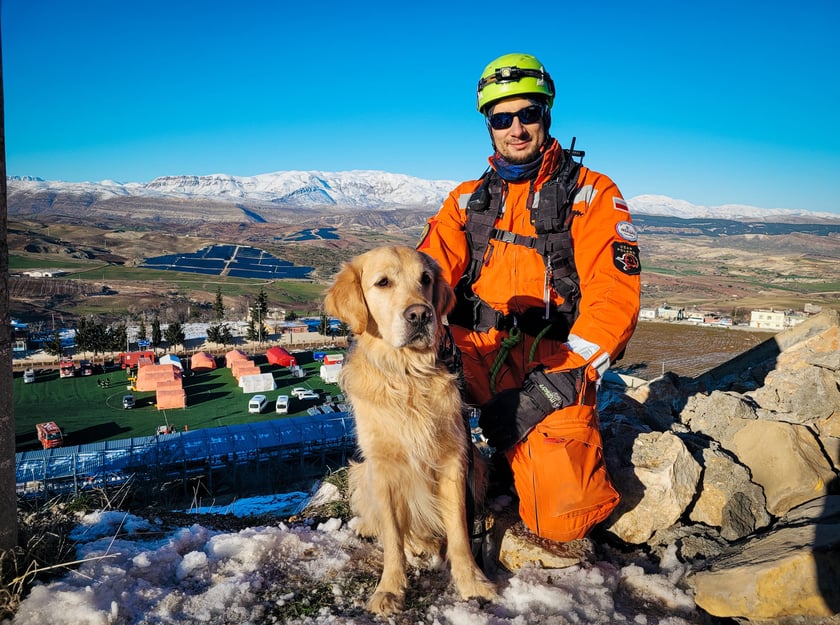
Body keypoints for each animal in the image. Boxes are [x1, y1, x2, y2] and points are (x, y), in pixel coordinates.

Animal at [324, 245, 498, 616]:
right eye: (383, 282)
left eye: (426, 279)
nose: (420, 315)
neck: (407, 376)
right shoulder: (383, 467)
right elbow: (392, 537)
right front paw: (390, 589)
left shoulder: (454, 462)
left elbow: (460, 532)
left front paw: (471, 582)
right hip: (360, 471)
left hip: (479, 466)